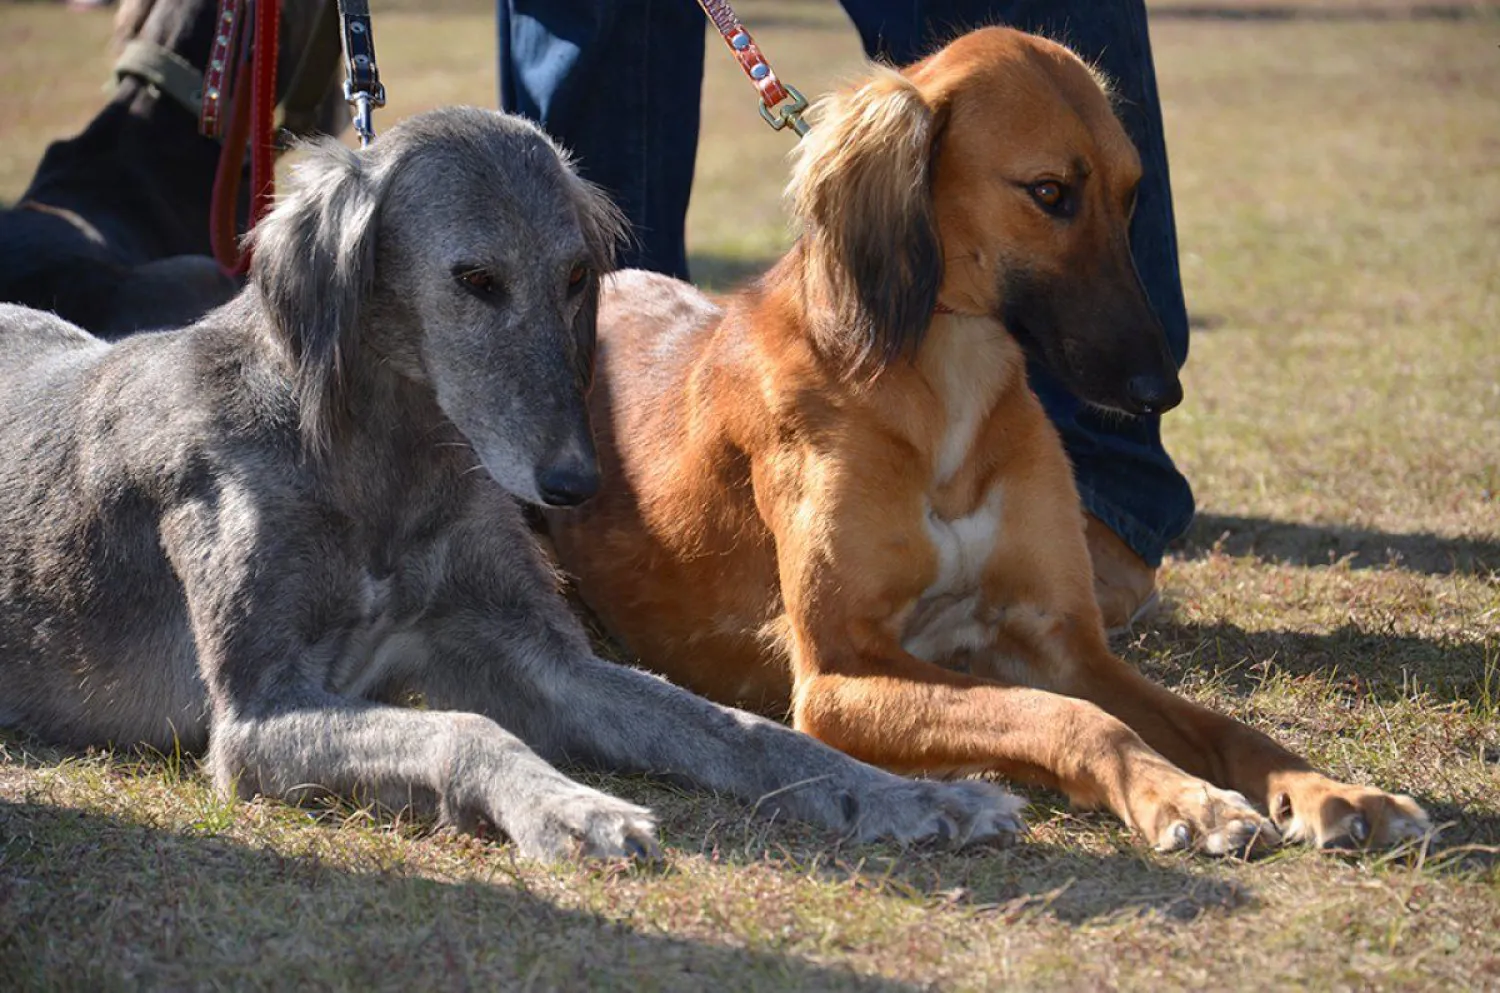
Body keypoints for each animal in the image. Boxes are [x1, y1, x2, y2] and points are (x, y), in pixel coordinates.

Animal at [0, 105, 1026, 858]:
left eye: (576, 276)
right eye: (475, 278)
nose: (574, 483)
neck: (378, 463)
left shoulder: (539, 655)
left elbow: (736, 726)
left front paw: (905, 794)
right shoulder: (255, 716)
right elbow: (464, 726)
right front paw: (572, 805)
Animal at [552, 29, 1428, 858]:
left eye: (1132, 194)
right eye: (1049, 192)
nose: (1159, 390)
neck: (945, 386)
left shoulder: (1065, 641)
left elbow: (1218, 723)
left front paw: (1327, 790)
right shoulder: (840, 672)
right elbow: (1070, 717)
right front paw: (1186, 797)